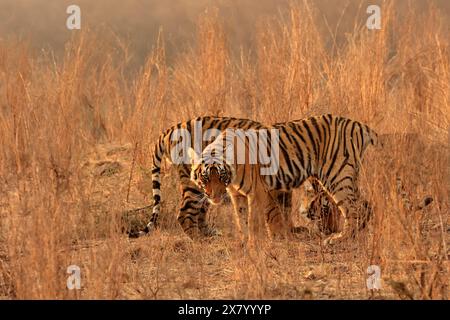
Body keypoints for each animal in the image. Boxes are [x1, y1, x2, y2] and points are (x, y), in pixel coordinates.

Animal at [134, 116, 294, 239]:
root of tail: (170, 130)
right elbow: (274, 211)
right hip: (196, 184)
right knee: (185, 213)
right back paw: (199, 241)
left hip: (207, 191)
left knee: (200, 214)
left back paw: (211, 234)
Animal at [188, 114, 378, 244]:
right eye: (205, 178)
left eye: (220, 176)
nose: (214, 197)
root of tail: (358, 125)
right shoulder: (237, 195)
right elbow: (241, 218)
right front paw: (244, 241)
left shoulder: (256, 192)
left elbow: (254, 221)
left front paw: (254, 245)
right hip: (348, 177)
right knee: (364, 205)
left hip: (337, 176)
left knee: (354, 208)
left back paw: (339, 238)